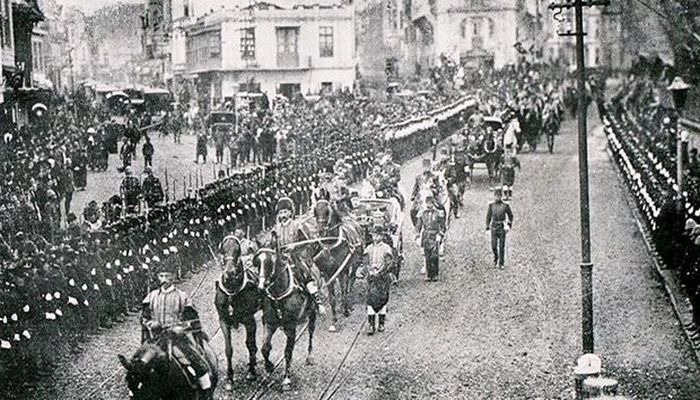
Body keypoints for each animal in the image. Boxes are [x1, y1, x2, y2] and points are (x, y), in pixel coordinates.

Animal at [213, 233, 262, 390]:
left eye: (237, 250)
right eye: (222, 250)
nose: (230, 273)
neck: (232, 292)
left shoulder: (249, 320)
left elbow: (250, 345)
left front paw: (251, 372)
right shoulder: (223, 321)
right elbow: (228, 349)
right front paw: (229, 379)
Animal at [253, 247, 316, 390]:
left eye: (270, 262)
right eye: (257, 263)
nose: (261, 287)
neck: (279, 295)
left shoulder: (291, 327)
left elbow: (287, 352)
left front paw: (286, 378)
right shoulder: (269, 323)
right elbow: (265, 348)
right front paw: (268, 367)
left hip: (312, 314)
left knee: (310, 333)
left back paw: (309, 356)